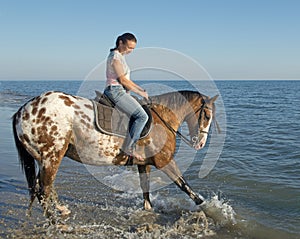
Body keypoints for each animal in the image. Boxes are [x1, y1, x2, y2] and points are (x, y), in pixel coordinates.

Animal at [12, 89, 218, 217]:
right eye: (207, 116)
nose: (200, 143)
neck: (161, 119)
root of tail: (23, 111)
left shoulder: (144, 164)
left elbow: (146, 191)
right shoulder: (165, 162)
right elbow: (187, 188)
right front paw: (211, 210)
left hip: (44, 159)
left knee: (43, 187)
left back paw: (62, 210)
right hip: (51, 157)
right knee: (44, 191)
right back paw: (53, 222)